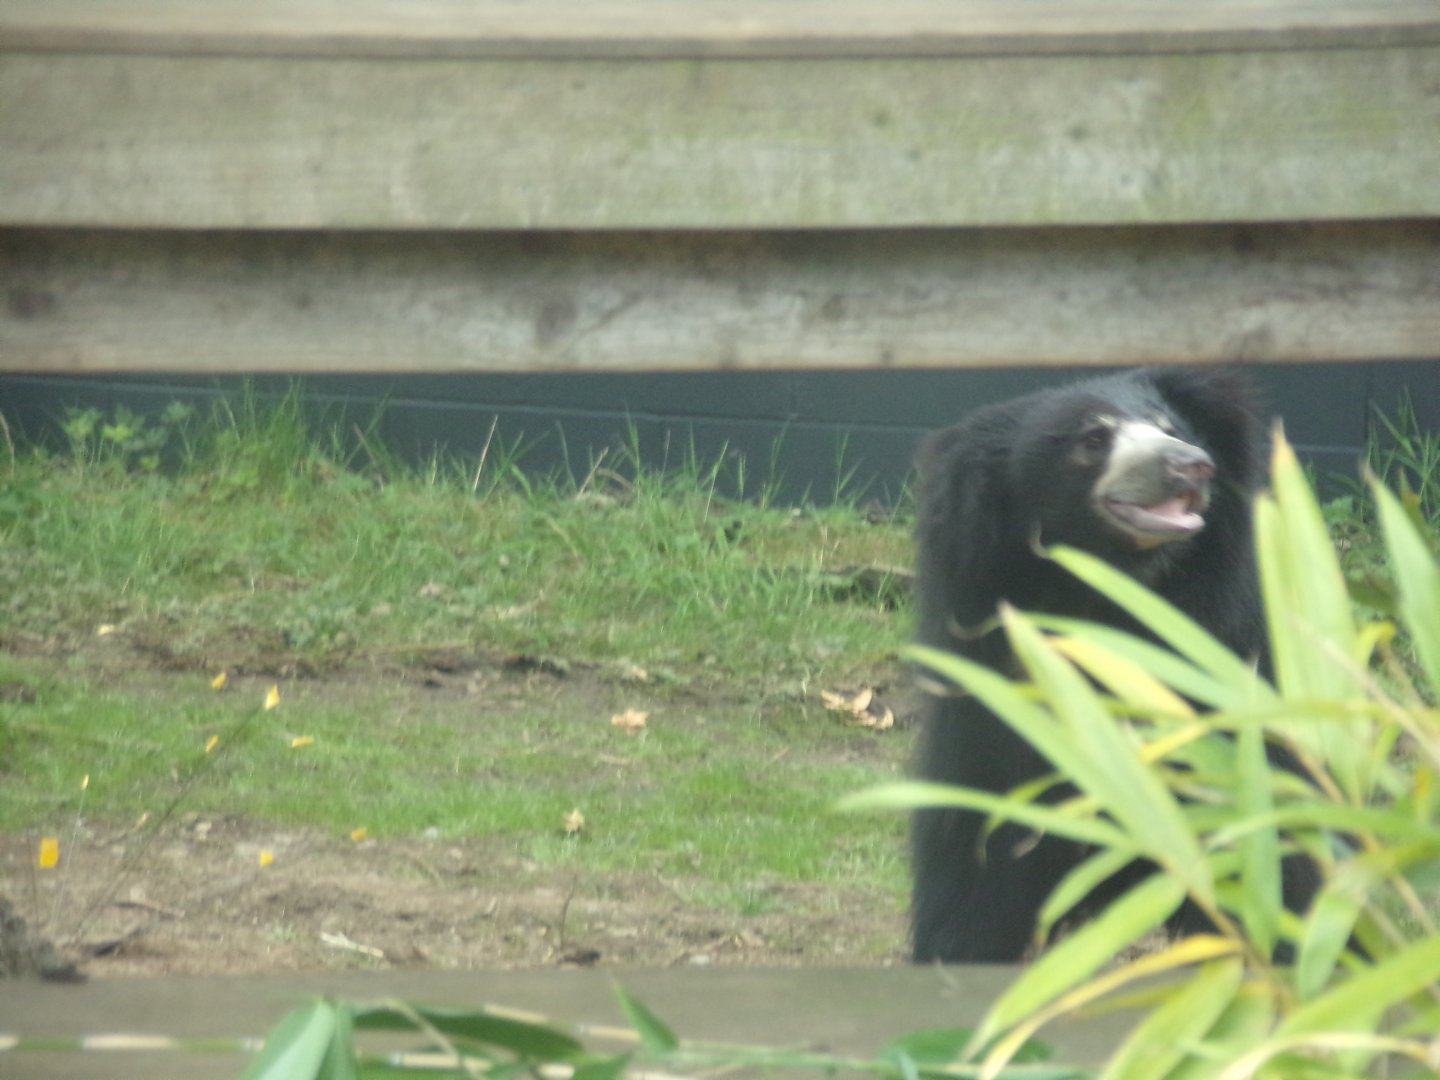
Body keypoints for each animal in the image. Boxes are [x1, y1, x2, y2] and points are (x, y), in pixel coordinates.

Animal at [909, 366, 1318, 964]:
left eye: (1170, 425)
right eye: (1093, 440)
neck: (1108, 591)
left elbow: (1272, 850)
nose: (1189, 463)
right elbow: (974, 862)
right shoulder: (991, 702)